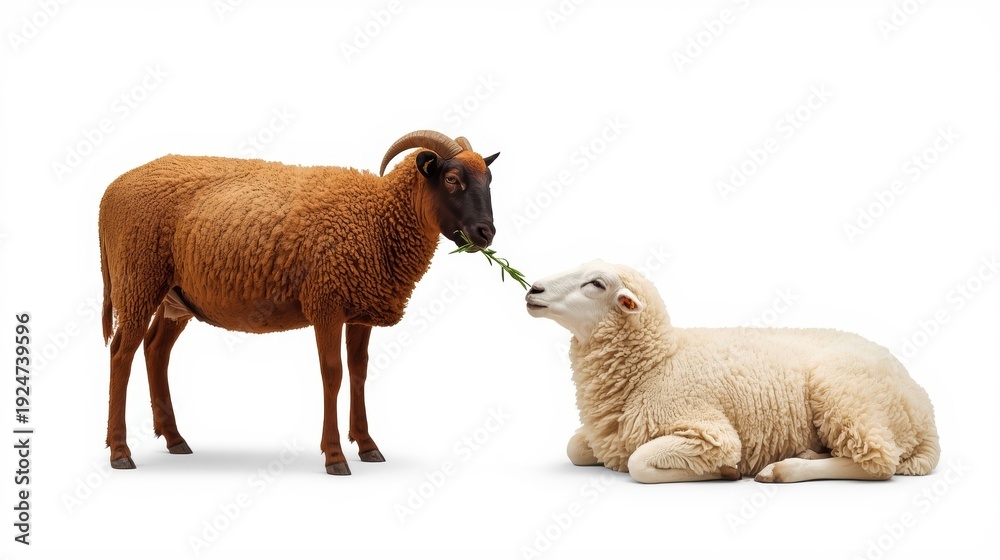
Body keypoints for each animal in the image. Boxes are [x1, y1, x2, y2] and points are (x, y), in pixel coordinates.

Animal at [99, 130, 500, 475]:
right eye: (452, 179)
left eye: (490, 180)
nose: (486, 233)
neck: (377, 218)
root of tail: (111, 191)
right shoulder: (326, 301)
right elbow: (333, 374)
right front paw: (335, 456)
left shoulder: (359, 308)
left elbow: (359, 372)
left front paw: (368, 445)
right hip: (138, 278)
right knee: (121, 353)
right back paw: (120, 452)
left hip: (176, 295)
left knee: (155, 350)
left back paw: (174, 439)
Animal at [525, 259, 940, 483]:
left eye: (596, 283)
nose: (533, 289)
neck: (658, 361)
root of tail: (923, 406)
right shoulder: (606, 435)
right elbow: (575, 448)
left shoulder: (708, 430)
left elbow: (639, 462)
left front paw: (722, 471)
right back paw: (808, 454)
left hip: (845, 395)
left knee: (879, 462)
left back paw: (783, 469)